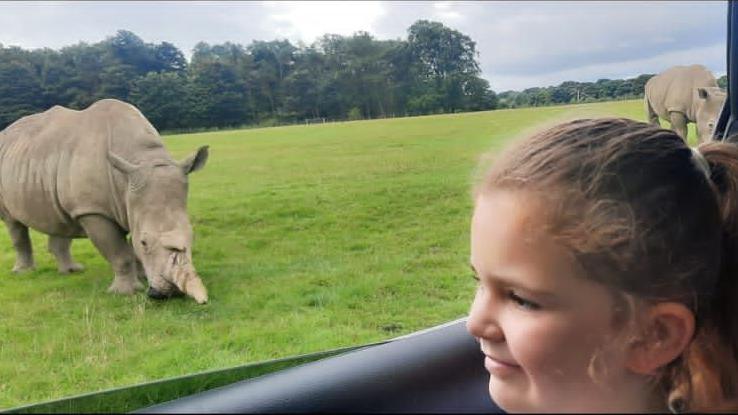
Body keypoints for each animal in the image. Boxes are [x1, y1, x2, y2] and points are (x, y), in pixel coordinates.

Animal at [0, 99, 208, 304]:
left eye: (192, 237)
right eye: (144, 242)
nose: (172, 293)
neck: (140, 159)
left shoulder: (130, 204)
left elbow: (132, 249)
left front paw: (142, 277)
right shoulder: (93, 210)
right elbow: (120, 253)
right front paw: (126, 292)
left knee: (59, 218)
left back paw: (72, 271)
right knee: (14, 224)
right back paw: (23, 272)